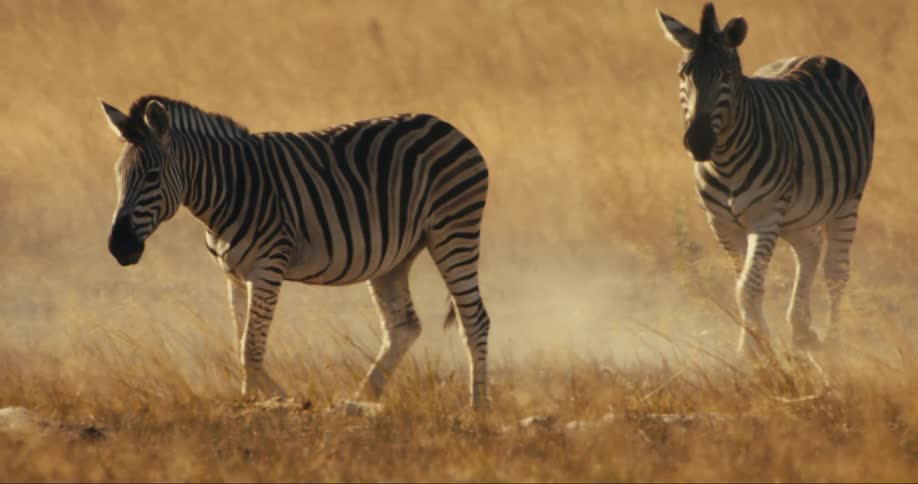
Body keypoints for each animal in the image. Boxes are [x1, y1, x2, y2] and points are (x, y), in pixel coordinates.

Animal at [100, 95, 491, 409]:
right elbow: (241, 344)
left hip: (453, 230)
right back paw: (362, 398)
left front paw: (276, 399)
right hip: (394, 257)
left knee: (474, 319)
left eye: (152, 175)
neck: (227, 189)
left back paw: (477, 406)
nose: (119, 247)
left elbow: (250, 349)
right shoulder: (234, 275)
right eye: (119, 174)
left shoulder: (268, 266)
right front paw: (256, 398)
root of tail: (447, 126)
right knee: (403, 327)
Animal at [656, 3, 874, 354]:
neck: (725, 161)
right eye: (682, 75)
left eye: (727, 76)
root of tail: (818, 56)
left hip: (846, 203)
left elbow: (748, 286)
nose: (698, 142)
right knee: (810, 248)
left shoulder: (765, 217)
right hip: (796, 213)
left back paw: (834, 344)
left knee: (836, 270)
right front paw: (754, 344)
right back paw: (802, 329)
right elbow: (743, 284)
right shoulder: (723, 224)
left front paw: (756, 349)